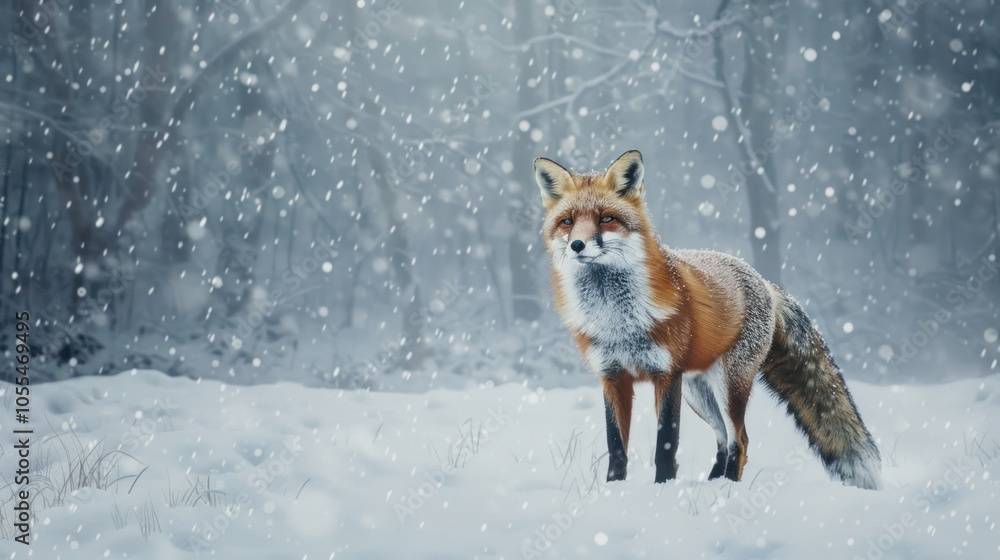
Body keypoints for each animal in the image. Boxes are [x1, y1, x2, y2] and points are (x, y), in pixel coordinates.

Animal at [534, 149, 881, 489]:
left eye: (606, 218)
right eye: (567, 222)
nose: (577, 245)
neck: (617, 322)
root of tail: (763, 280)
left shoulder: (667, 375)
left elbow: (665, 444)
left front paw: (662, 490)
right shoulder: (612, 377)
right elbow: (616, 447)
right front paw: (613, 492)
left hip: (729, 386)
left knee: (740, 440)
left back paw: (727, 489)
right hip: (698, 394)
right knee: (723, 439)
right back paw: (714, 483)